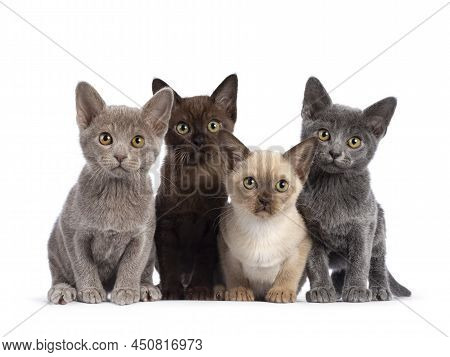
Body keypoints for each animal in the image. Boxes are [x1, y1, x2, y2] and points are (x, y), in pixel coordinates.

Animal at [47, 82, 173, 304]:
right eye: (105, 138)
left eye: (138, 141)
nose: (120, 155)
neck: (115, 193)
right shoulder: (72, 232)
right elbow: (82, 263)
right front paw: (90, 290)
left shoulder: (143, 235)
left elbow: (133, 263)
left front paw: (127, 290)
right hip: (54, 245)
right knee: (59, 275)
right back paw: (62, 290)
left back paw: (146, 287)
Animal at [151, 73, 237, 298]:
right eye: (183, 127)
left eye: (213, 125)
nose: (198, 140)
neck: (196, 178)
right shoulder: (166, 224)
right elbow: (169, 260)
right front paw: (171, 291)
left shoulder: (211, 227)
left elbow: (204, 259)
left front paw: (199, 290)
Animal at [218, 132, 316, 302]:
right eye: (249, 183)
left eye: (281, 185)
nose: (264, 199)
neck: (262, 228)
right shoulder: (227, 249)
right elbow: (235, 275)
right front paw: (239, 292)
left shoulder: (301, 246)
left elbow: (289, 273)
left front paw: (281, 292)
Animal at [298, 76, 412, 302]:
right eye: (323, 134)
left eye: (354, 141)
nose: (335, 152)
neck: (332, 186)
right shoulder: (308, 227)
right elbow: (315, 261)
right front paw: (321, 290)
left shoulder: (363, 227)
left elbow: (361, 260)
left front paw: (357, 290)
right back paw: (336, 290)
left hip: (379, 226)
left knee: (377, 262)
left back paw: (379, 290)